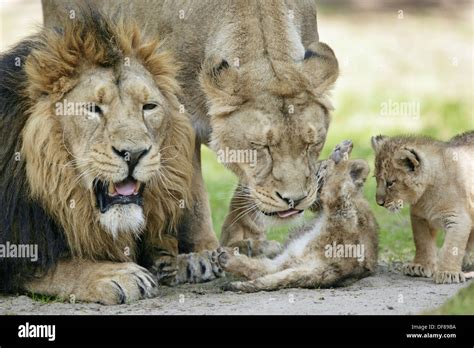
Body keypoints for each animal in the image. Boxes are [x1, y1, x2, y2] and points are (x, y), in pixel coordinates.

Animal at [0, 7, 224, 302]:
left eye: (149, 106)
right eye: (93, 109)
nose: (133, 153)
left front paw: (190, 259)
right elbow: (48, 266)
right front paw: (115, 274)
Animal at [42, 0, 338, 258]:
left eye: (313, 144)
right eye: (261, 147)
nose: (295, 200)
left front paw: (244, 240)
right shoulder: (181, 122)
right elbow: (194, 198)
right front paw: (204, 250)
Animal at [372, 132, 472, 284]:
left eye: (390, 183)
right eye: (376, 179)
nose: (379, 203)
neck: (427, 193)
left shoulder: (458, 218)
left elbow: (452, 247)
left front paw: (447, 273)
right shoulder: (419, 217)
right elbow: (422, 242)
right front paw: (419, 266)